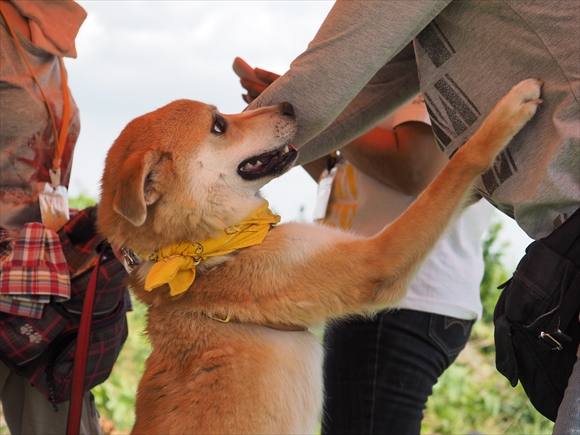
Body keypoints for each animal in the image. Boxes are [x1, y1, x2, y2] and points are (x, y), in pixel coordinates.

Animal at [96, 79, 544, 435]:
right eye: (218, 125)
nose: (288, 106)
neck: (204, 253)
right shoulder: (375, 261)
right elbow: (448, 177)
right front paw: (504, 117)